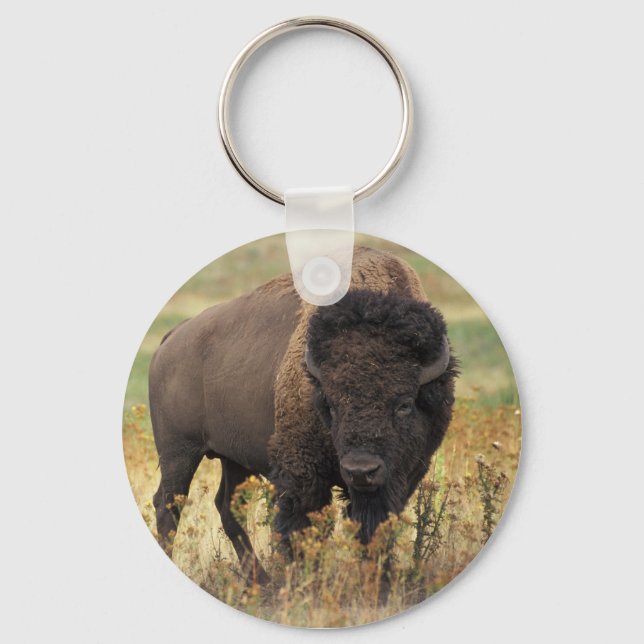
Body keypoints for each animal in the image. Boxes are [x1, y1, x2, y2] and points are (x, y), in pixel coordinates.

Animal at [149, 246, 457, 582]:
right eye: (331, 404)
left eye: (404, 404)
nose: (361, 470)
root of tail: (171, 338)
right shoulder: (302, 474)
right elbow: (302, 529)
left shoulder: (402, 476)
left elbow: (374, 529)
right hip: (179, 452)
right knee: (168, 505)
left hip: (233, 458)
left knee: (227, 506)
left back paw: (260, 581)